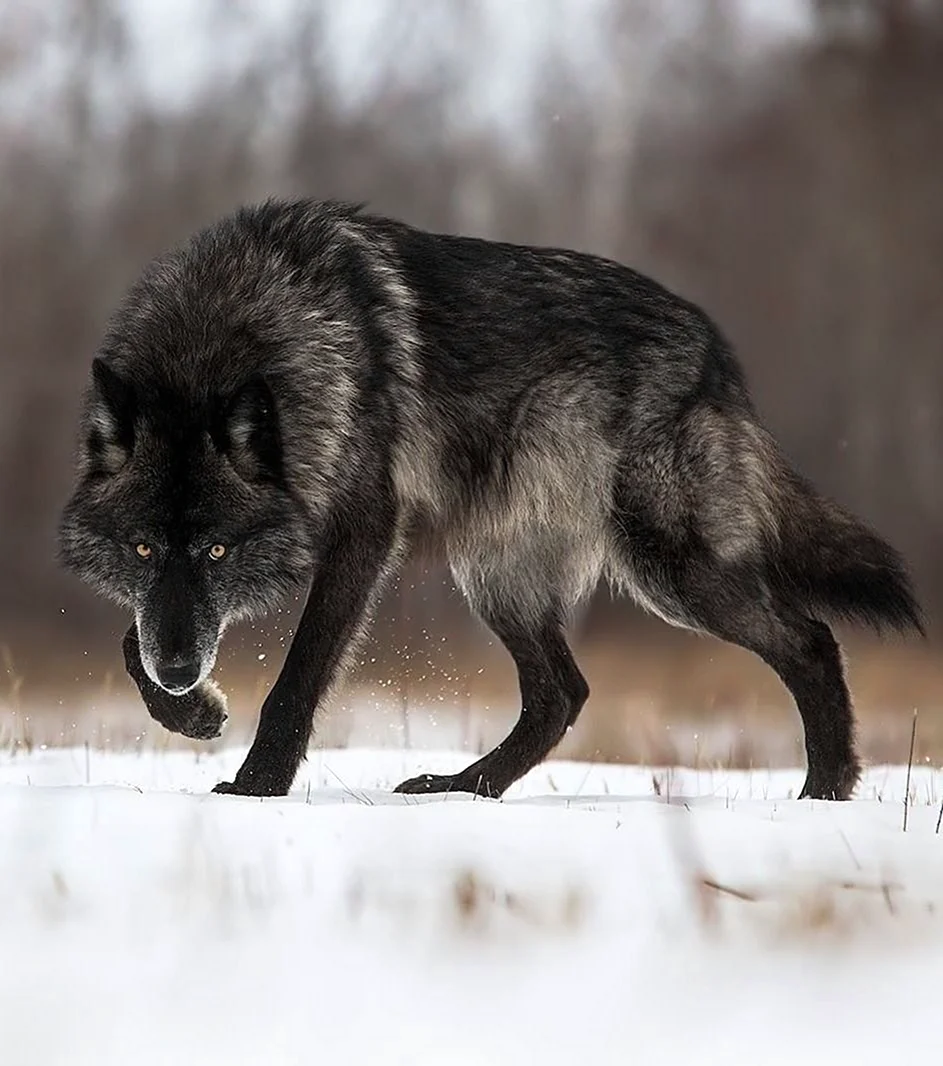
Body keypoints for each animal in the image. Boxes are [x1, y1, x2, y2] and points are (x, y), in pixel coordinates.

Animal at [57, 200, 920, 801]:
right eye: (142, 547)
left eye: (216, 550)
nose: (182, 672)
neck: (230, 335)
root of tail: (719, 354)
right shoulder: (173, 604)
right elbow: (131, 642)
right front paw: (191, 713)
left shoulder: (365, 534)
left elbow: (297, 676)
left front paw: (256, 788)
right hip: (496, 573)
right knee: (560, 694)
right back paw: (461, 789)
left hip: (667, 572)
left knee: (810, 640)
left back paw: (822, 793)